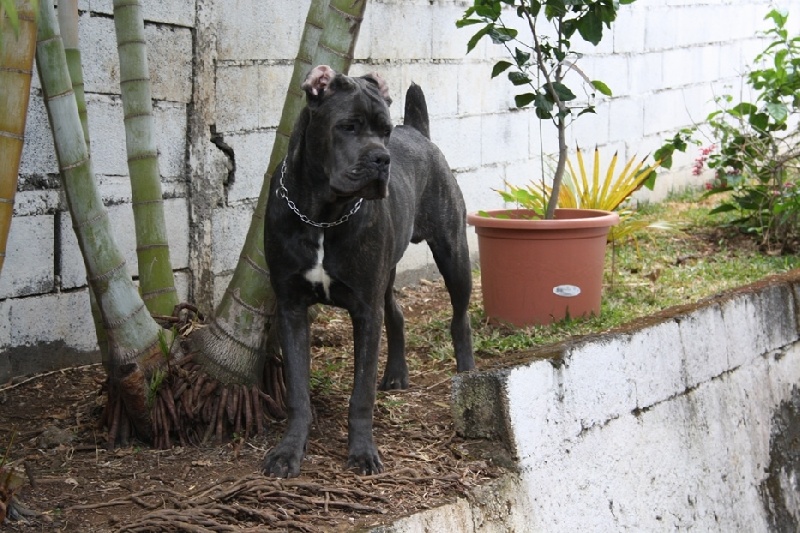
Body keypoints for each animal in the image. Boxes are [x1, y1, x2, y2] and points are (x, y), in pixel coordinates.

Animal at [262, 64, 476, 476]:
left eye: (385, 131)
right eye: (348, 126)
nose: (382, 159)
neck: (322, 215)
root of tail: (419, 132)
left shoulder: (364, 309)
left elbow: (361, 394)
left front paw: (362, 452)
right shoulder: (291, 309)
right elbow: (297, 392)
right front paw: (288, 451)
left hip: (454, 254)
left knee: (460, 319)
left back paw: (469, 375)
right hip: (386, 276)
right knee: (395, 313)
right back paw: (396, 373)